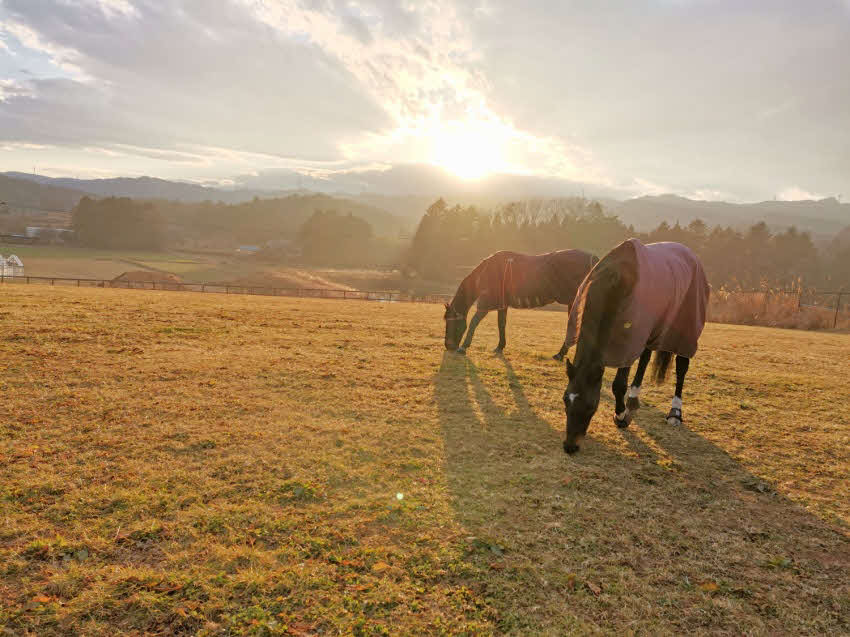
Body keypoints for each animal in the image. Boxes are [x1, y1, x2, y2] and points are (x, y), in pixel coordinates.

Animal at [443, 249, 599, 354]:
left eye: (451, 321)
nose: (448, 346)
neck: (487, 271)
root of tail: (594, 259)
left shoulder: (487, 302)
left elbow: (474, 322)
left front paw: (464, 347)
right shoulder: (502, 304)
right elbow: (501, 324)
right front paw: (500, 347)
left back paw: (561, 354)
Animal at [558, 239, 710, 454]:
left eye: (590, 405)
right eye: (565, 399)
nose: (570, 446)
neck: (615, 280)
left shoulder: (628, 338)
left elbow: (618, 384)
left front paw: (621, 416)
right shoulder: (635, 335)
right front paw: (625, 409)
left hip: (685, 327)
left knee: (681, 367)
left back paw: (675, 412)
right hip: (651, 329)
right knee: (645, 358)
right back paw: (634, 398)